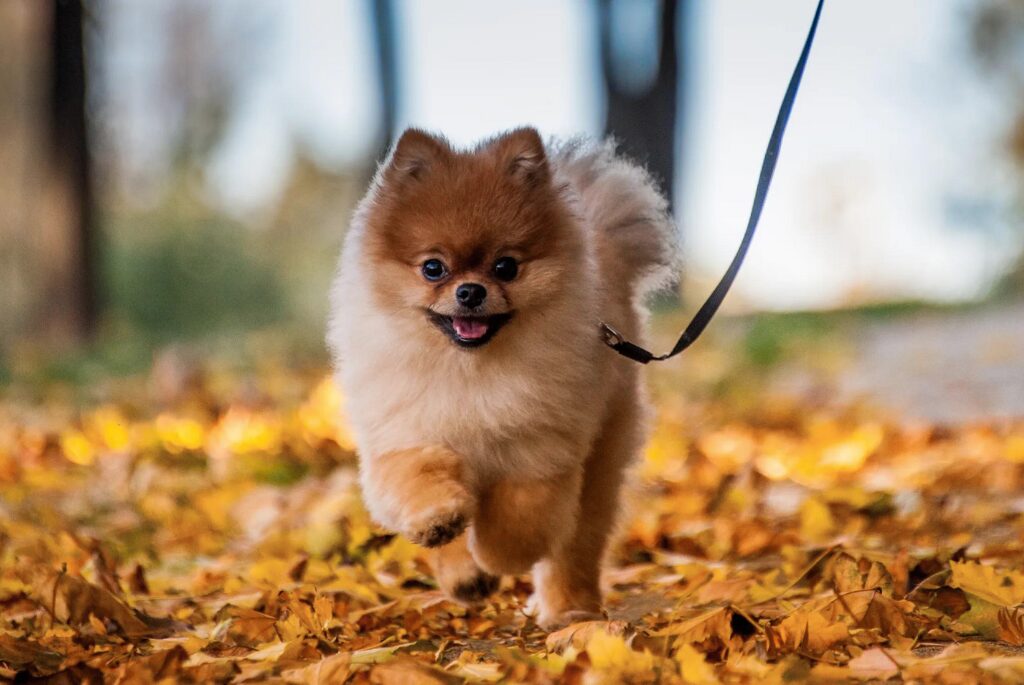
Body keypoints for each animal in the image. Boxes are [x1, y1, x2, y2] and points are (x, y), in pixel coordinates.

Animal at [329, 125, 679, 626]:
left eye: (506, 267)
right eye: (432, 267)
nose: (471, 291)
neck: (469, 371)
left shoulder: (538, 454)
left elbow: (518, 518)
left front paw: (499, 556)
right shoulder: (407, 435)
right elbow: (421, 482)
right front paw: (442, 526)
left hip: (600, 462)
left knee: (575, 546)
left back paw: (570, 610)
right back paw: (466, 577)